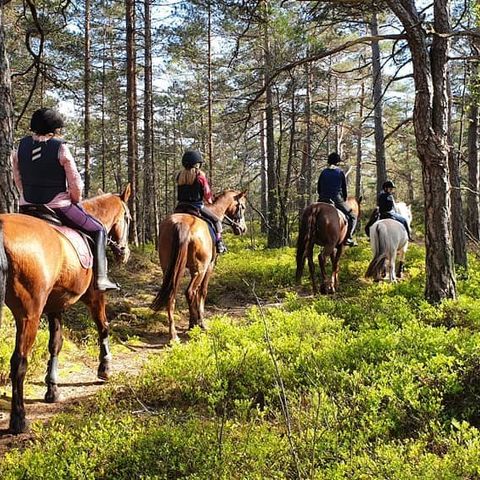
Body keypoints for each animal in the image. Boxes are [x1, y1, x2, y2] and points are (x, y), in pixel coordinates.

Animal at [0, 184, 131, 432]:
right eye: (128, 218)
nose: (124, 253)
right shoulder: (95, 296)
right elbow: (103, 327)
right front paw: (105, 368)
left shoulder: (55, 305)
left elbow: (55, 344)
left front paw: (52, 389)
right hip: (29, 315)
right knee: (19, 362)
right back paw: (18, 418)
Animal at [151, 189, 248, 344]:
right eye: (242, 207)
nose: (243, 229)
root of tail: (181, 224)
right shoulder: (209, 266)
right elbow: (202, 291)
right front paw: (198, 322)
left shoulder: (191, 269)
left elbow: (197, 293)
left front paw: (192, 321)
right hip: (201, 269)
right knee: (189, 292)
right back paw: (198, 325)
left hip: (169, 269)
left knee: (171, 294)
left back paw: (174, 335)